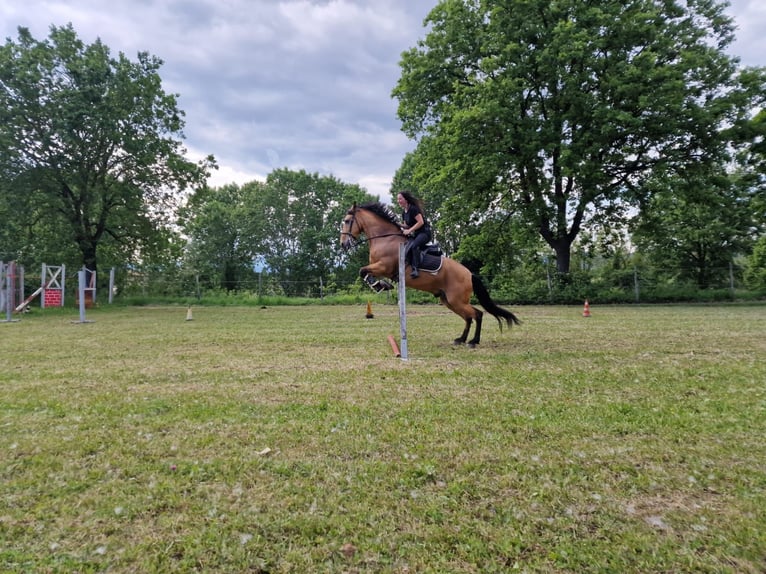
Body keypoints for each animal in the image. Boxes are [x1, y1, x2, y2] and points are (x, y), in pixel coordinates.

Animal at [340, 201, 520, 347]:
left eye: (347, 221)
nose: (343, 244)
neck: (385, 239)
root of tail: (469, 274)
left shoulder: (384, 266)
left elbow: (363, 270)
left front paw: (379, 285)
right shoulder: (379, 267)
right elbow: (365, 272)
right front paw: (382, 285)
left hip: (456, 299)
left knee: (478, 314)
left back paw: (473, 341)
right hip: (449, 301)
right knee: (469, 317)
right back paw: (461, 339)